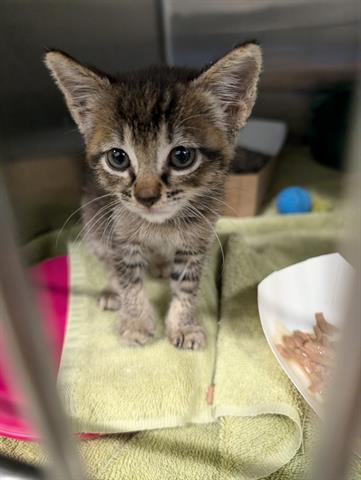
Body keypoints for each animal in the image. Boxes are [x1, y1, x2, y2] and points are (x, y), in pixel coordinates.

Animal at [46, 44, 262, 348]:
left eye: (182, 156)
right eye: (118, 158)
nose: (146, 198)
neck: (161, 227)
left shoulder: (196, 240)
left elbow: (186, 285)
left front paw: (182, 325)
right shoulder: (120, 237)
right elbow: (129, 279)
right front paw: (136, 321)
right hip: (94, 224)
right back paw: (113, 291)